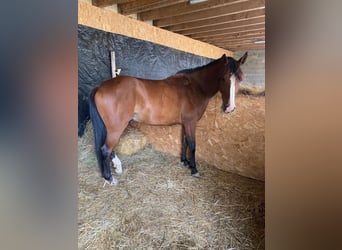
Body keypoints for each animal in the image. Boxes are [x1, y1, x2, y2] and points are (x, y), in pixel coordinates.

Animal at [89, 52, 247, 186]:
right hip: (116, 128)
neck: (195, 87)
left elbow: (185, 142)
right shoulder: (191, 123)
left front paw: (185, 162)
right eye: (223, 78)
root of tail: (100, 86)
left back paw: (116, 168)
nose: (229, 108)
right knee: (105, 149)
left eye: (240, 78)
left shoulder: (185, 123)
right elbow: (193, 145)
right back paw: (110, 178)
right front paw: (194, 169)